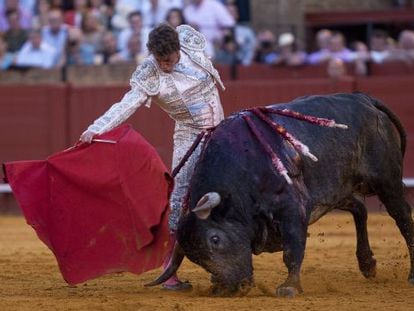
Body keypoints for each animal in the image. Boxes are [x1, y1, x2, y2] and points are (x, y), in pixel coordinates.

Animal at [147, 92, 412, 298]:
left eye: (214, 239)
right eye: (197, 259)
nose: (234, 287)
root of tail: (364, 99)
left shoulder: (292, 208)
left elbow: (292, 248)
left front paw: (290, 287)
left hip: (386, 181)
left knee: (402, 218)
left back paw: (410, 275)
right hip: (338, 187)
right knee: (360, 208)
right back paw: (367, 264)